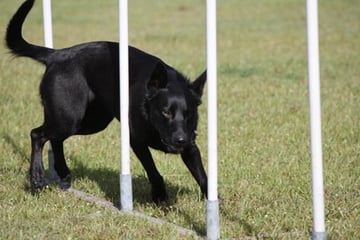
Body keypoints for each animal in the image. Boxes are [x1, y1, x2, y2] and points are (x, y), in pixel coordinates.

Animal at [5, 0, 207, 203]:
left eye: (189, 115)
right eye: (165, 112)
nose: (180, 140)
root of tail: (57, 55)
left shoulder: (191, 147)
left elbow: (204, 177)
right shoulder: (136, 141)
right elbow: (153, 171)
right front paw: (160, 196)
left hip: (90, 121)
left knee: (55, 138)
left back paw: (63, 172)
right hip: (69, 117)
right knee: (37, 134)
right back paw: (37, 176)